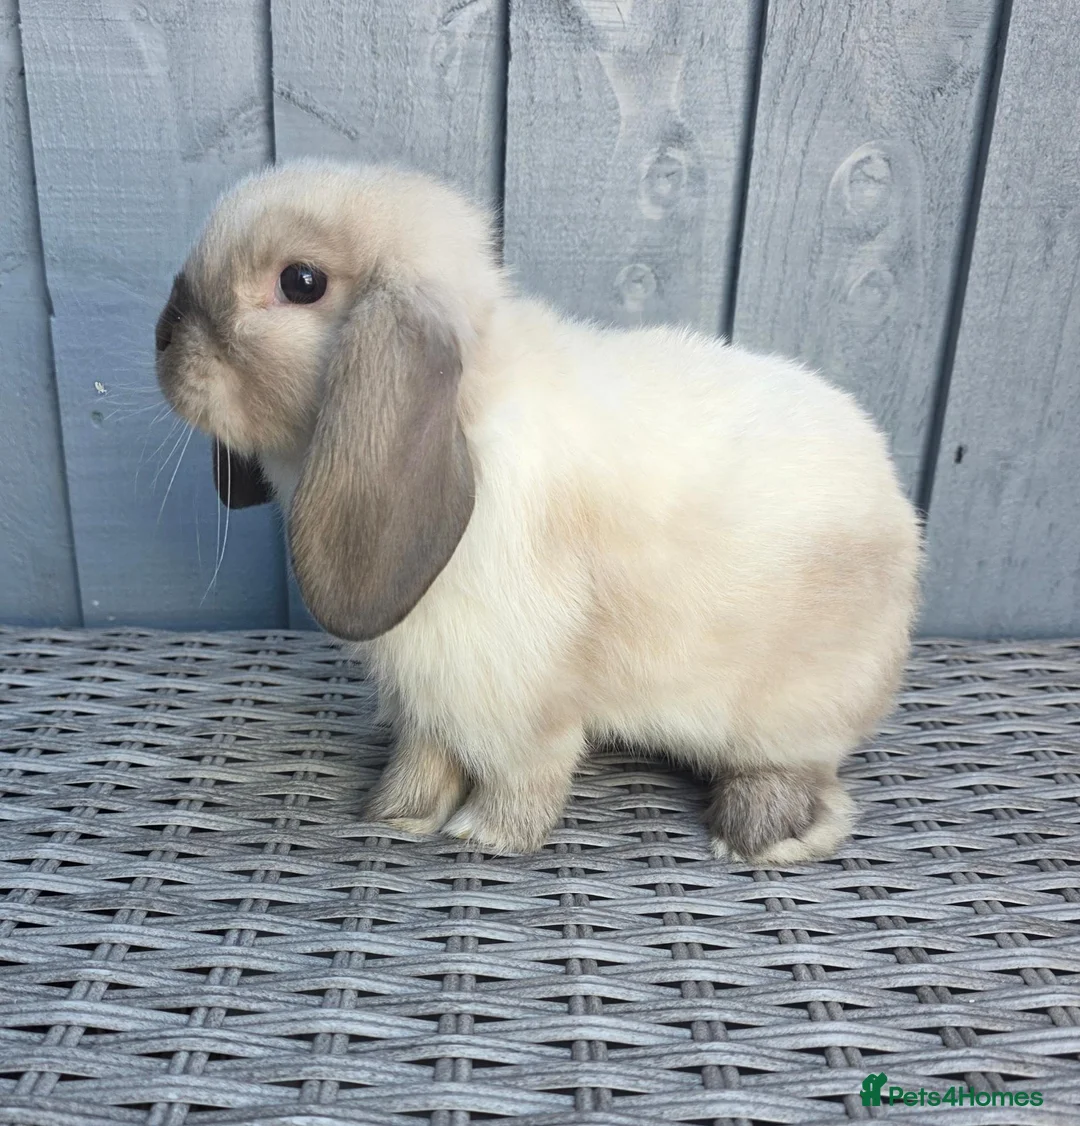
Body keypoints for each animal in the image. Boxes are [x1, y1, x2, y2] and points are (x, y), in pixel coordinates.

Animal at [155, 159, 921, 863]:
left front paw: (488, 836)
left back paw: (754, 834)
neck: (471, 415)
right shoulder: (431, 696)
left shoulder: (518, 694)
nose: (164, 336)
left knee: (800, 772)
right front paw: (396, 815)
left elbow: (526, 771)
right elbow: (425, 756)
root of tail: (896, 505)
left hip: (794, 710)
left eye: (301, 282)